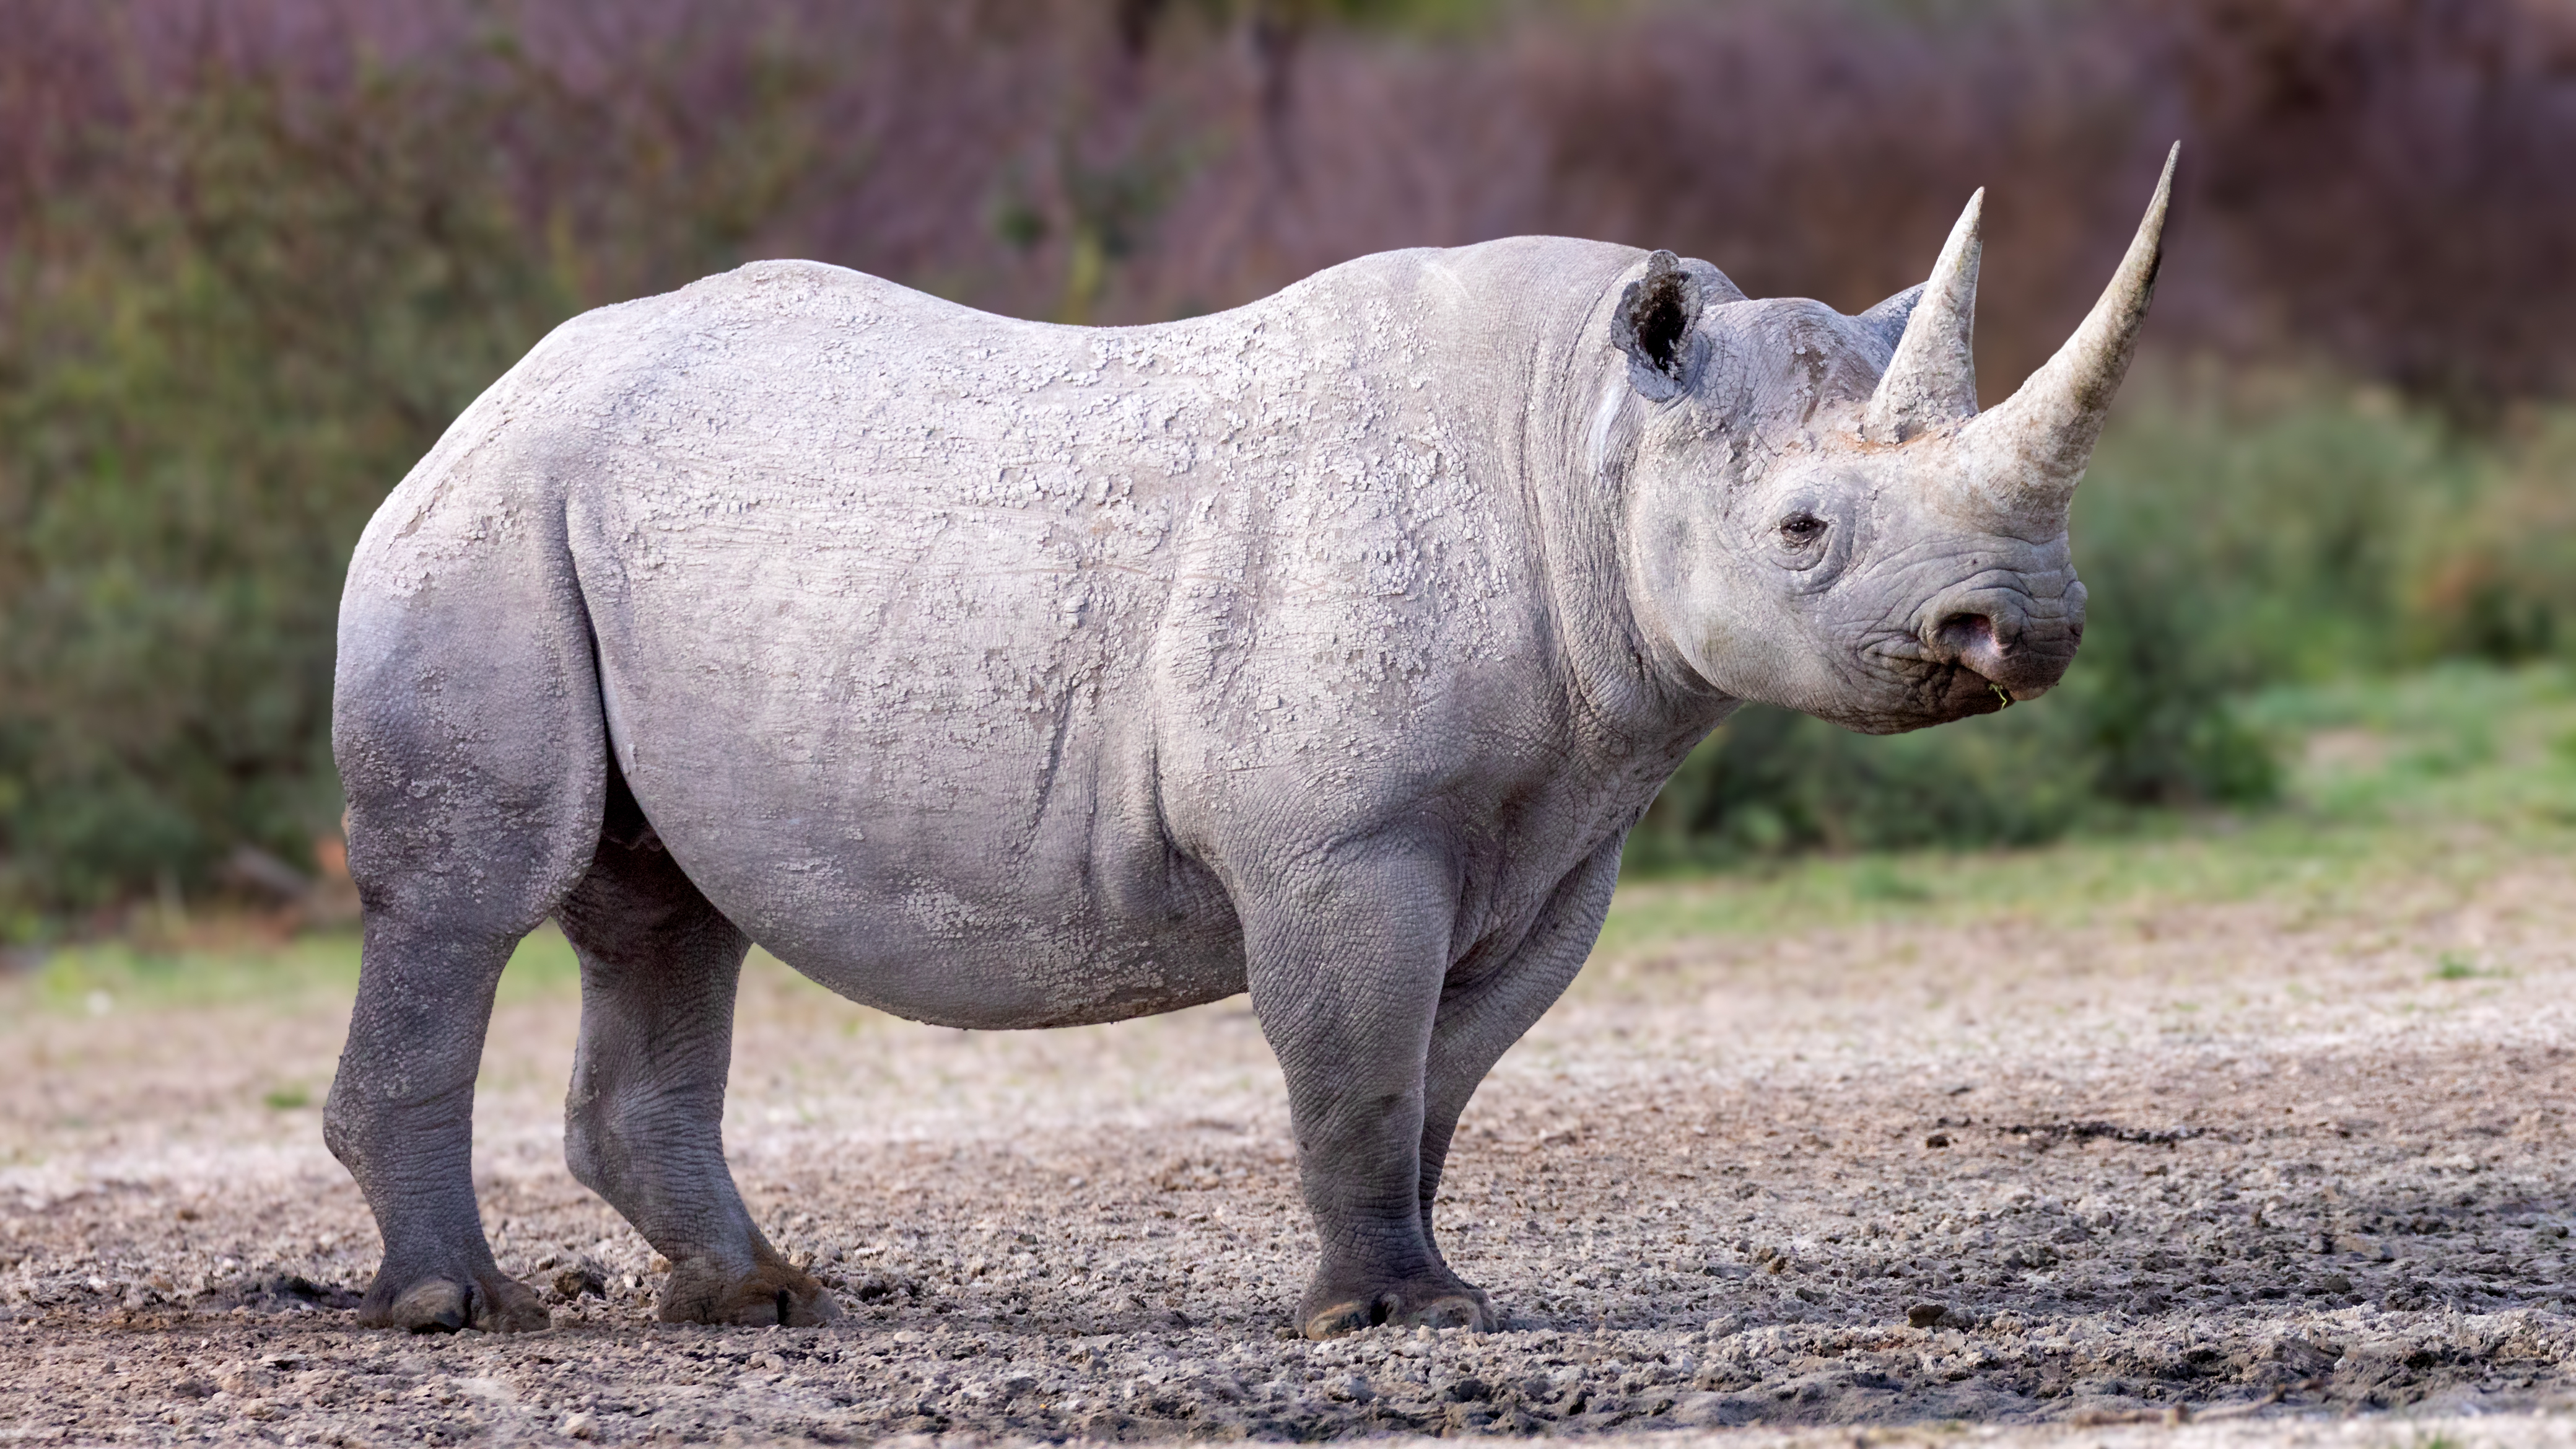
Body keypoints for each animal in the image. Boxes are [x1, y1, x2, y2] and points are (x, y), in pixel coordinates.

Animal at [325, 148, 2176, 1336]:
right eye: (1801, 530)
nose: (2020, 630)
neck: (1589, 449)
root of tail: (484, 397)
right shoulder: (1336, 839)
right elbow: (1355, 1059)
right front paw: (1388, 1319)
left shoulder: (1561, 835)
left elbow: (1441, 1071)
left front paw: (1425, 1285)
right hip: (481, 525)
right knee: (478, 895)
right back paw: (459, 1309)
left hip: (602, 528)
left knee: (664, 910)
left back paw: (758, 1301)